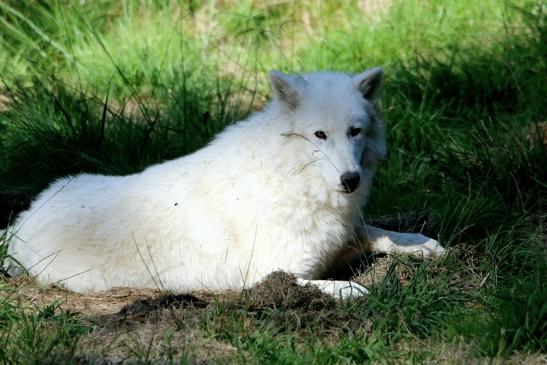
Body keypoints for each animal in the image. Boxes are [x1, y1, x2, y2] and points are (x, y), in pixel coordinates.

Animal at [5, 67, 446, 298]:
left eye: (355, 131)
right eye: (320, 135)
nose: (350, 180)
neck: (290, 181)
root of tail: (22, 220)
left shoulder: (345, 234)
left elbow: (380, 232)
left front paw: (423, 244)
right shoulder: (269, 274)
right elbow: (325, 284)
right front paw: (356, 291)